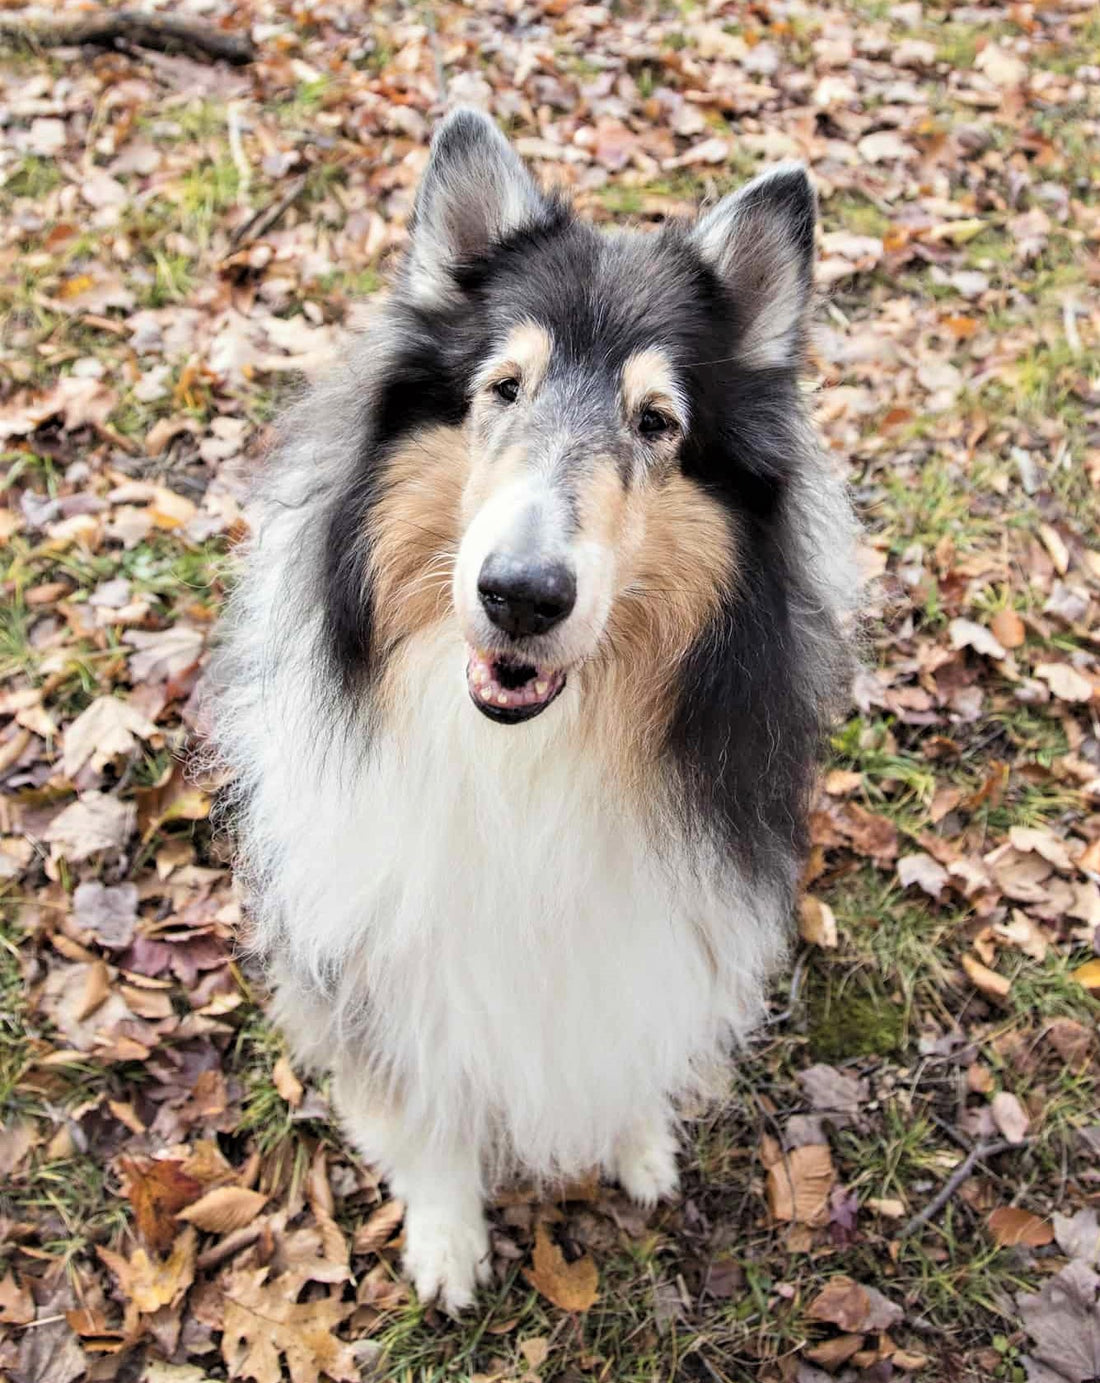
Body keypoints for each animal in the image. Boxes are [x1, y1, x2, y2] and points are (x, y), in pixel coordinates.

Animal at [208, 105, 857, 1305]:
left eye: (657, 422)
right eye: (503, 388)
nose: (519, 595)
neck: (530, 754)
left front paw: (637, 1141)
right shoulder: (386, 952)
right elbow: (428, 1106)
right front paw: (447, 1236)